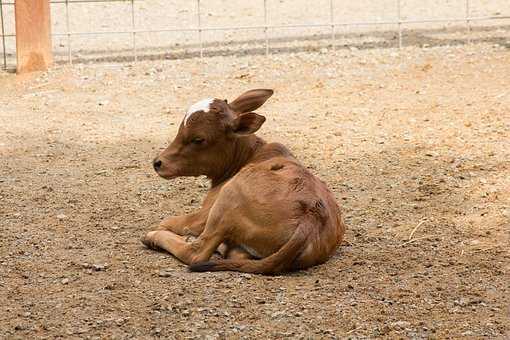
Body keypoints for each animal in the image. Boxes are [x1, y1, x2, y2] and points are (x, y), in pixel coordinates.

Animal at [141, 88, 344, 274]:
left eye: (198, 139)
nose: (158, 163)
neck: (250, 155)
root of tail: (312, 216)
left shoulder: (203, 215)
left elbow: (169, 222)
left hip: (228, 199)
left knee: (196, 253)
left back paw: (154, 237)